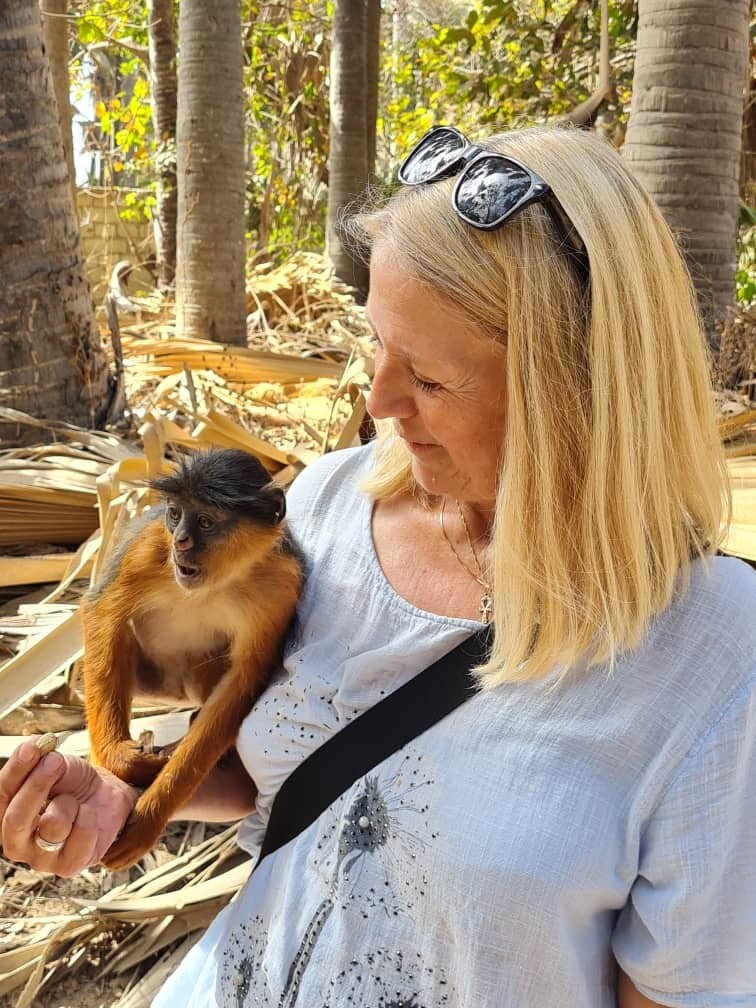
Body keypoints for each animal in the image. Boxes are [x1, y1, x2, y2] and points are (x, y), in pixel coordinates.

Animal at [81, 448, 303, 871]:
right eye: (174, 513)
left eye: (205, 521)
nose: (182, 540)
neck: (218, 581)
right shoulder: (150, 544)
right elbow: (102, 612)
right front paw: (121, 760)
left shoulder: (281, 584)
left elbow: (245, 680)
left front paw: (150, 816)